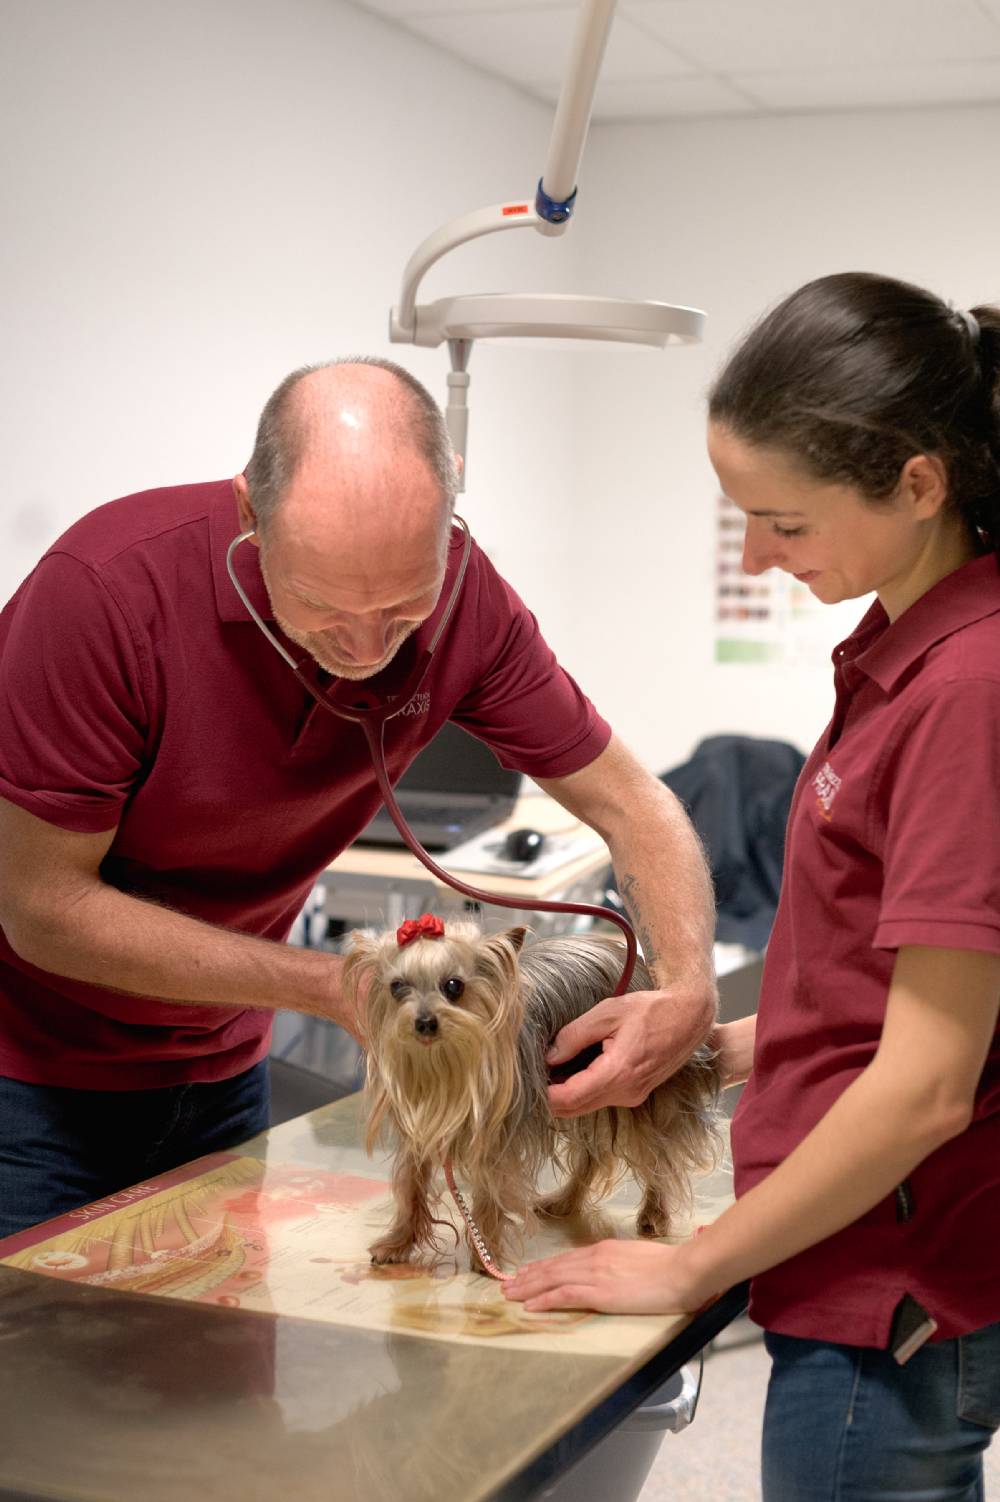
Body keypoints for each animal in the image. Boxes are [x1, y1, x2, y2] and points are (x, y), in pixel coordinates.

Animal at [340, 907, 717, 1273]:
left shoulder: (497, 1135)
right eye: (397, 987)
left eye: (453, 986)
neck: (444, 1063)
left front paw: (486, 1253)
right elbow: (412, 1185)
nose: (424, 1022)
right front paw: (397, 1243)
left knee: (656, 1153)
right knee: (592, 1153)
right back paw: (565, 1200)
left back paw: (654, 1213)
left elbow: (490, 1191)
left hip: (637, 1084)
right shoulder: (417, 1129)